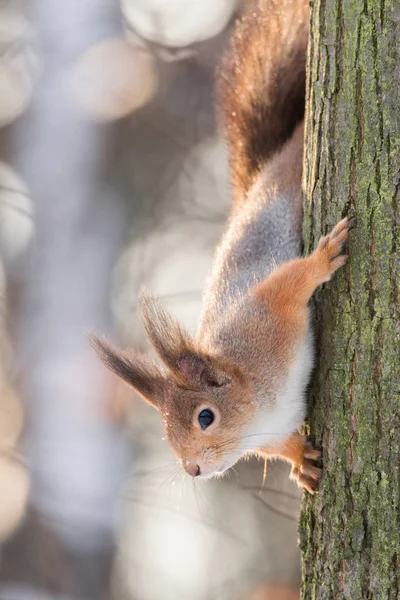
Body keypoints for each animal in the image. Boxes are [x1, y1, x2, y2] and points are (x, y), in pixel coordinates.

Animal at [91, 0, 354, 492]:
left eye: (205, 417)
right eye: (165, 431)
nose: (191, 468)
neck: (260, 406)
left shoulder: (265, 319)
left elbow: (289, 284)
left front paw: (322, 259)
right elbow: (280, 446)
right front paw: (299, 460)